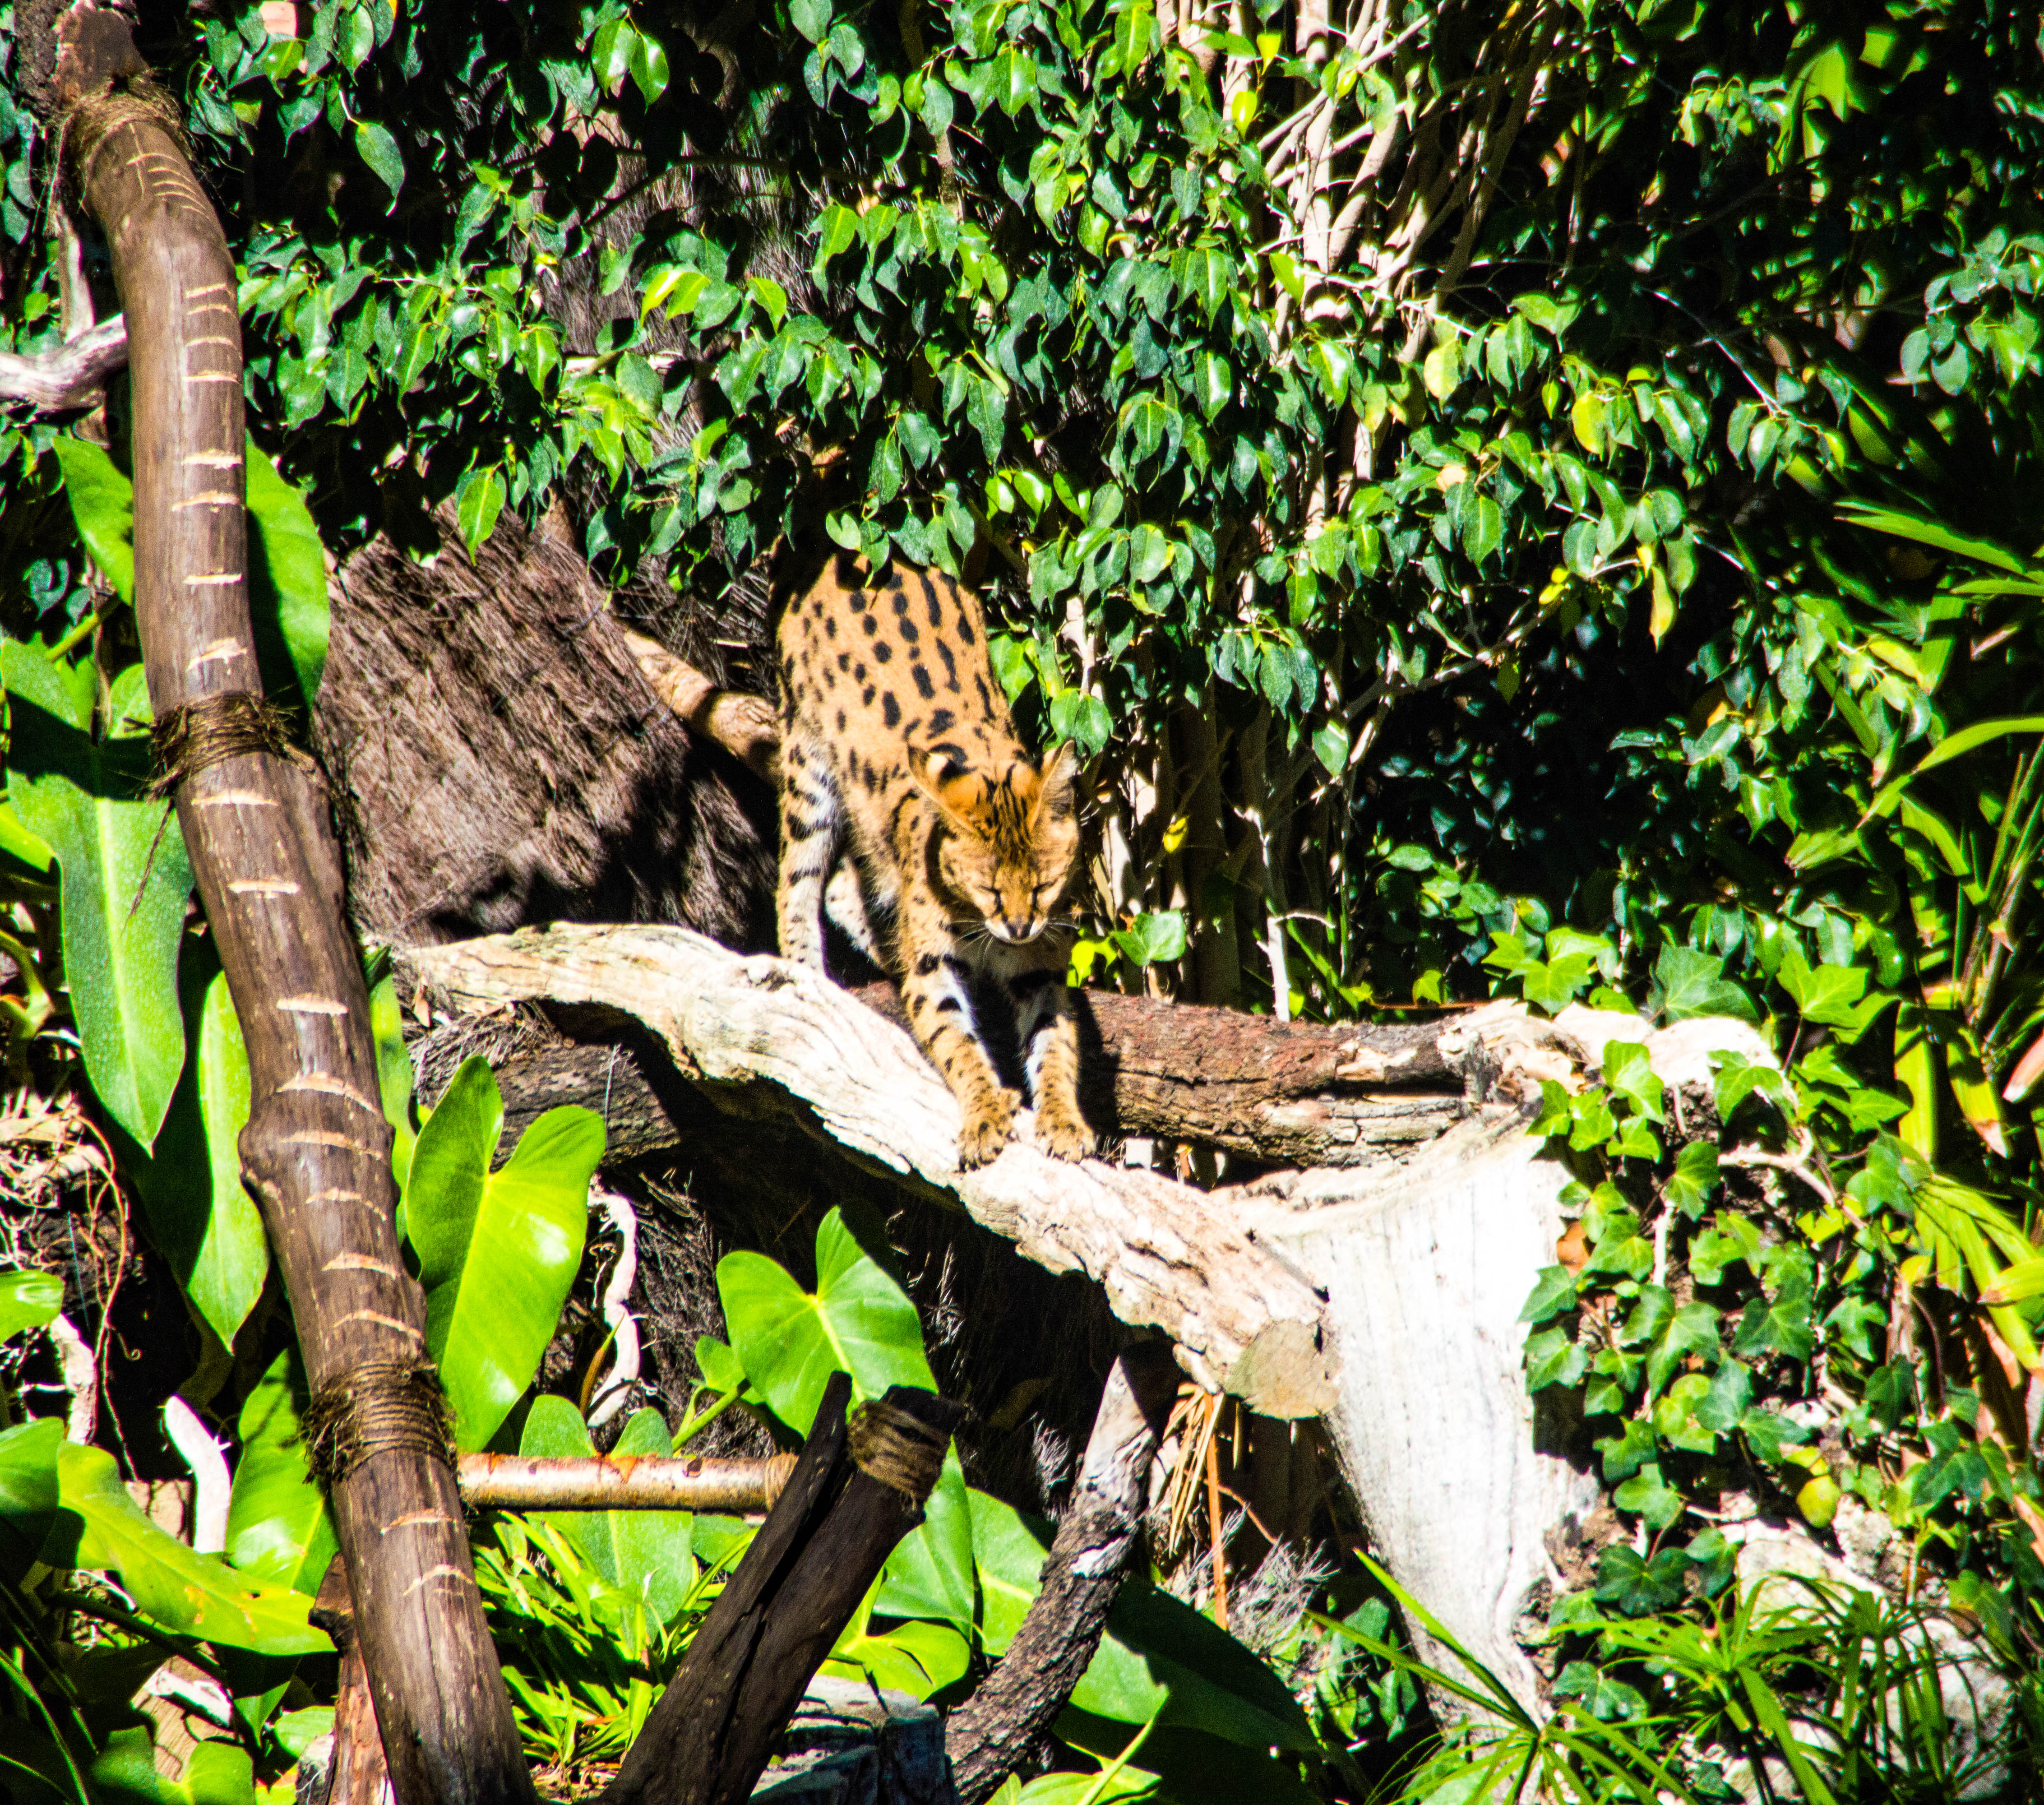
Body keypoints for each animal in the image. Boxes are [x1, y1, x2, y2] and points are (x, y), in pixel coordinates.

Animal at [774, 549, 1095, 1169]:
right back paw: (807, 972)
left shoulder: (1042, 961)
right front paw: (986, 1112)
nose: (1018, 927)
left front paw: (1064, 1118)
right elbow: (954, 1038)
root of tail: (847, 554)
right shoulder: (935, 965)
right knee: (798, 881)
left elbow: (1056, 1042)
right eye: (989, 889)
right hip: (808, 766)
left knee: (842, 886)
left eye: (1044, 885)